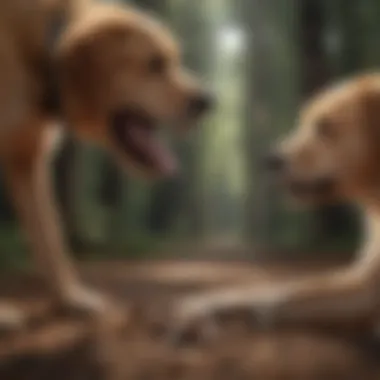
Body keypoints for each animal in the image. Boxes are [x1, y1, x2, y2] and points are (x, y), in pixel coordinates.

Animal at [0, 0, 214, 326]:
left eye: (174, 60)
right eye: (154, 64)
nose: (208, 102)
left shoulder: (28, 161)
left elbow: (50, 238)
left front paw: (72, 298)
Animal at [169, 72, 380, 340]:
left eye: (325, 127)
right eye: (304, 122)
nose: (270, 160)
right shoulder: (363, 286)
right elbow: (270, 292)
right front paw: (194, 310)